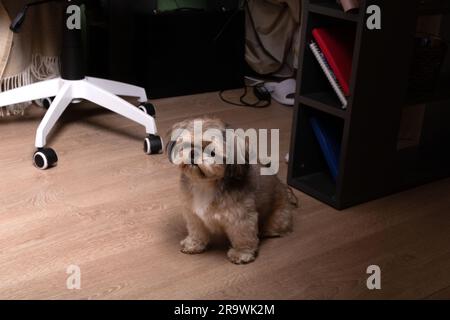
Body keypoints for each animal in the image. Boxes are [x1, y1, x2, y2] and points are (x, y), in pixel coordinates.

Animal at [167, 117, 298, 264]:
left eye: (212, 152)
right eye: (187, 144)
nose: (193, 153)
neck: (205, 183)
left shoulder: (241, 218)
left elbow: (243, 237)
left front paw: (241, 254)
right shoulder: (194, 215)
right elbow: (196, 231)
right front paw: (193, 244)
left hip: (277, 218)